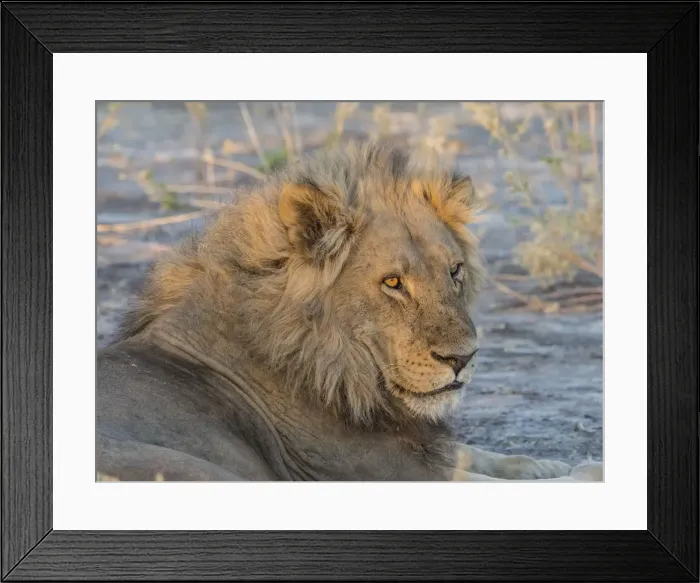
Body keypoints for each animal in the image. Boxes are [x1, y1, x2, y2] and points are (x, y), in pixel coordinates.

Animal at [97, 140, 602, 482]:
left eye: (454, 271)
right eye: (393, 283)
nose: (463, 359)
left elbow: (483, 455)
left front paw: (546, 463)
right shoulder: (377, 471)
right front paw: (583, 471)